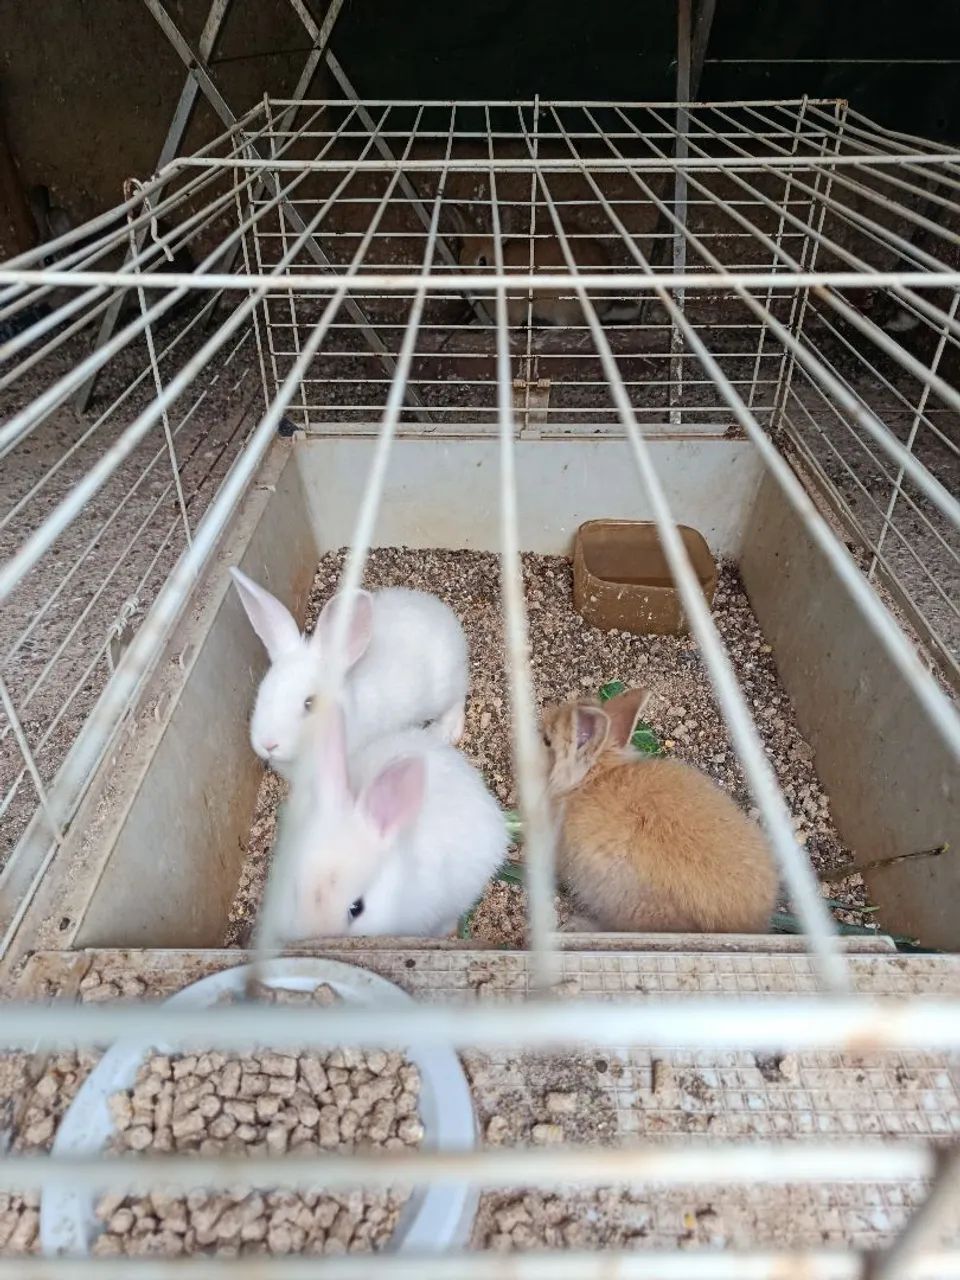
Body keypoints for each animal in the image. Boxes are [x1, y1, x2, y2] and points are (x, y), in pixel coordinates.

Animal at [230, 567, 469, 780]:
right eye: (261, 692)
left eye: (310, 703)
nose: (268, 744)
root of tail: (446, 617)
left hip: (444, 687)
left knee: (457, 701)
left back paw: (443, 733)